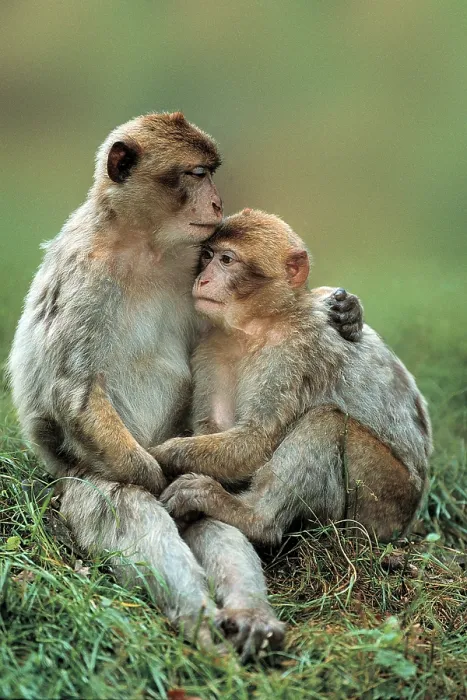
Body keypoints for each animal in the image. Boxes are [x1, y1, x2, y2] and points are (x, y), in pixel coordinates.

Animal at [8, 114, 364, 659]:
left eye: (211, 174)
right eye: (196, 175)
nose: (216, 203)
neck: (144, 246)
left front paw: (345, 313)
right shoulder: (85, 275)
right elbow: (75, 391)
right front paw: (153, 477)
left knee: (212, 518)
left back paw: (249, 616)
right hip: (81, 478)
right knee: (127, 508)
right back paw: (196, 614)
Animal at [153, 209, 432, 547]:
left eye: (227, 260)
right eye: (207, 256)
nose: (203, 279)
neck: (261, 325)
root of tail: (408, 522)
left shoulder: (292, 353)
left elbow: (255, 442)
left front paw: (159, 454)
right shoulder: (214, 344)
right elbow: (218, 426)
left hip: (383, 500)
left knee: (326, 422)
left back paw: (253, 518)